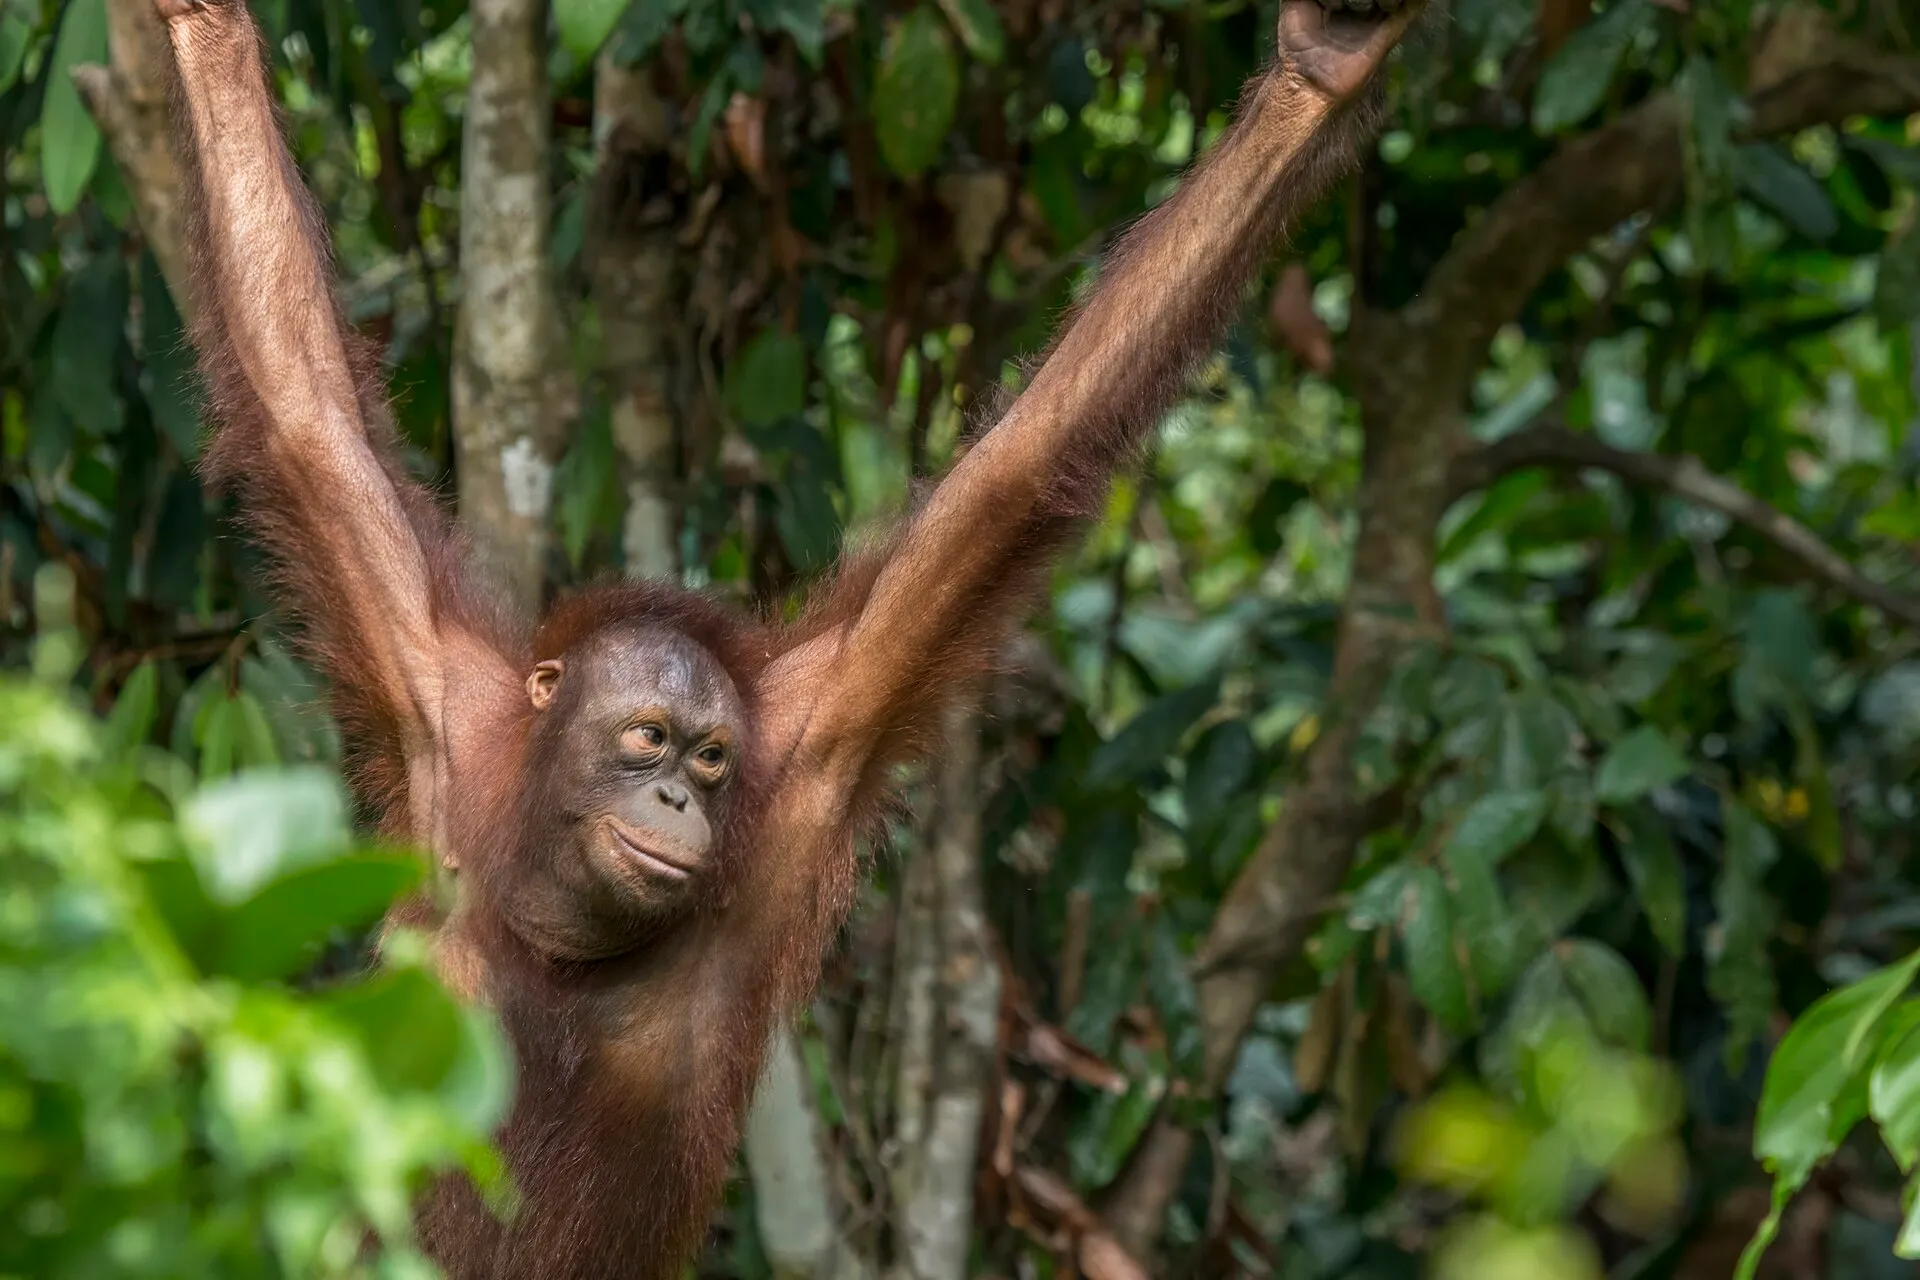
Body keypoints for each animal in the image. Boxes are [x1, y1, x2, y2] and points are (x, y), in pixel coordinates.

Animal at [151, 0, 1424, 1274]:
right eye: (648, 737)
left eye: (713, 758)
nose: (678, 797)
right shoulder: (437, 706)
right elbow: (305, 413)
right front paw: (203, 30)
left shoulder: (814, 742)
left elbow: (1015, 476)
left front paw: (1320, 74)